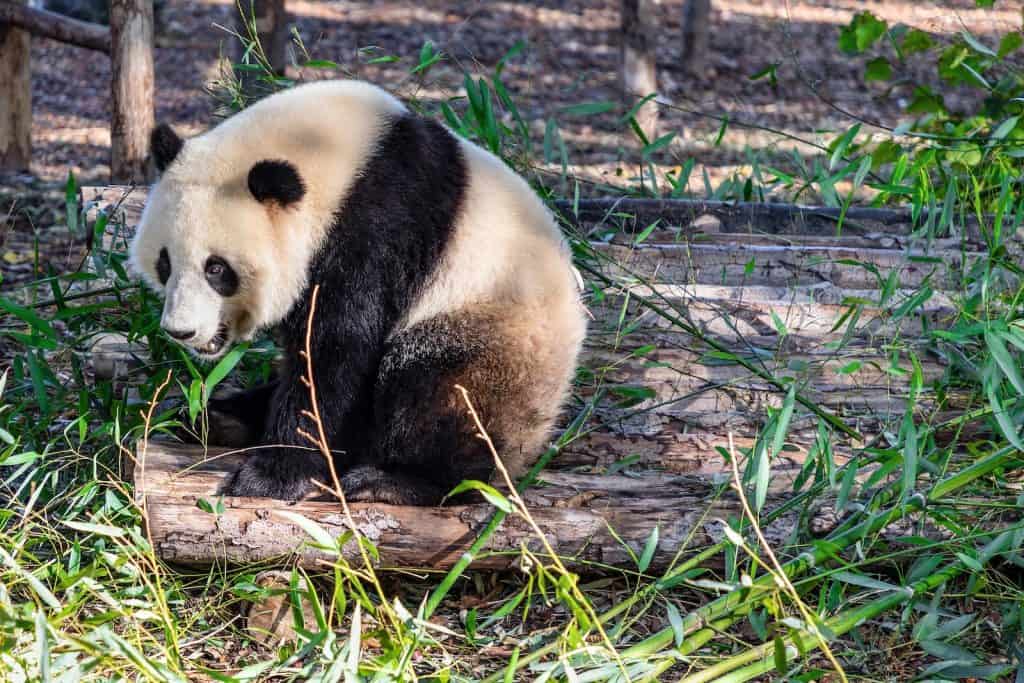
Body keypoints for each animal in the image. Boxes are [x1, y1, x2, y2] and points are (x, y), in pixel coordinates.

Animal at [129, 80, 587, 505]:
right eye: (165, 263)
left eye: (217, 269)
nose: (181, 332)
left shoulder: (377, 227)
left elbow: (337, 350)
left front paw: (270, 476)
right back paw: (220, 417)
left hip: (493, 332)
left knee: (439, 394)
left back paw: (396, 481)